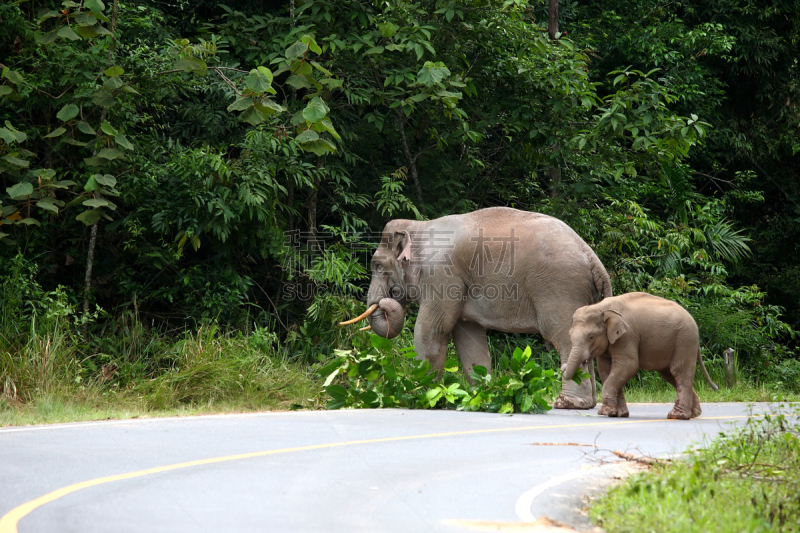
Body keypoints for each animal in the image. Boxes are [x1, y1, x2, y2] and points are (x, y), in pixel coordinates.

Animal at [340, 207, 612, 408]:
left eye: (376, 265)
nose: (385, 300)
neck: (420, 226)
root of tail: (592, 257)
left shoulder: (443, 275)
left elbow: (432, 329)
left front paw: (419, 392)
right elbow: (469, 338)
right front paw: (481, 394)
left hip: (560, 288)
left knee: (563, 337)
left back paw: (567, 403)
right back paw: (587, 404)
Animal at [556, 294, 720, 418]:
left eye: (590, 337)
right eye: (570, 335)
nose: (563, 367)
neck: (601, 307)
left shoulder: (627, 336)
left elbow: (628, 366)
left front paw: (605, 412)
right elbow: (605, 370)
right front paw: (618, 414)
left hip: (684, 340)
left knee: (680, 372)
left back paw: (677, 416)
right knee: (670, 375)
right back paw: (694, 413)